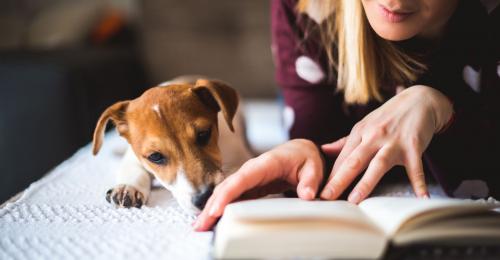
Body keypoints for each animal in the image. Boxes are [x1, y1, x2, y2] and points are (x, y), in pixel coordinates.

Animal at [91, 77, 252, 215]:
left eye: (204, 134)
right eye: (155, 156)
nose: (204, 198)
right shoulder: (133, 157)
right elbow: (134, 170)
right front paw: (127, 187)